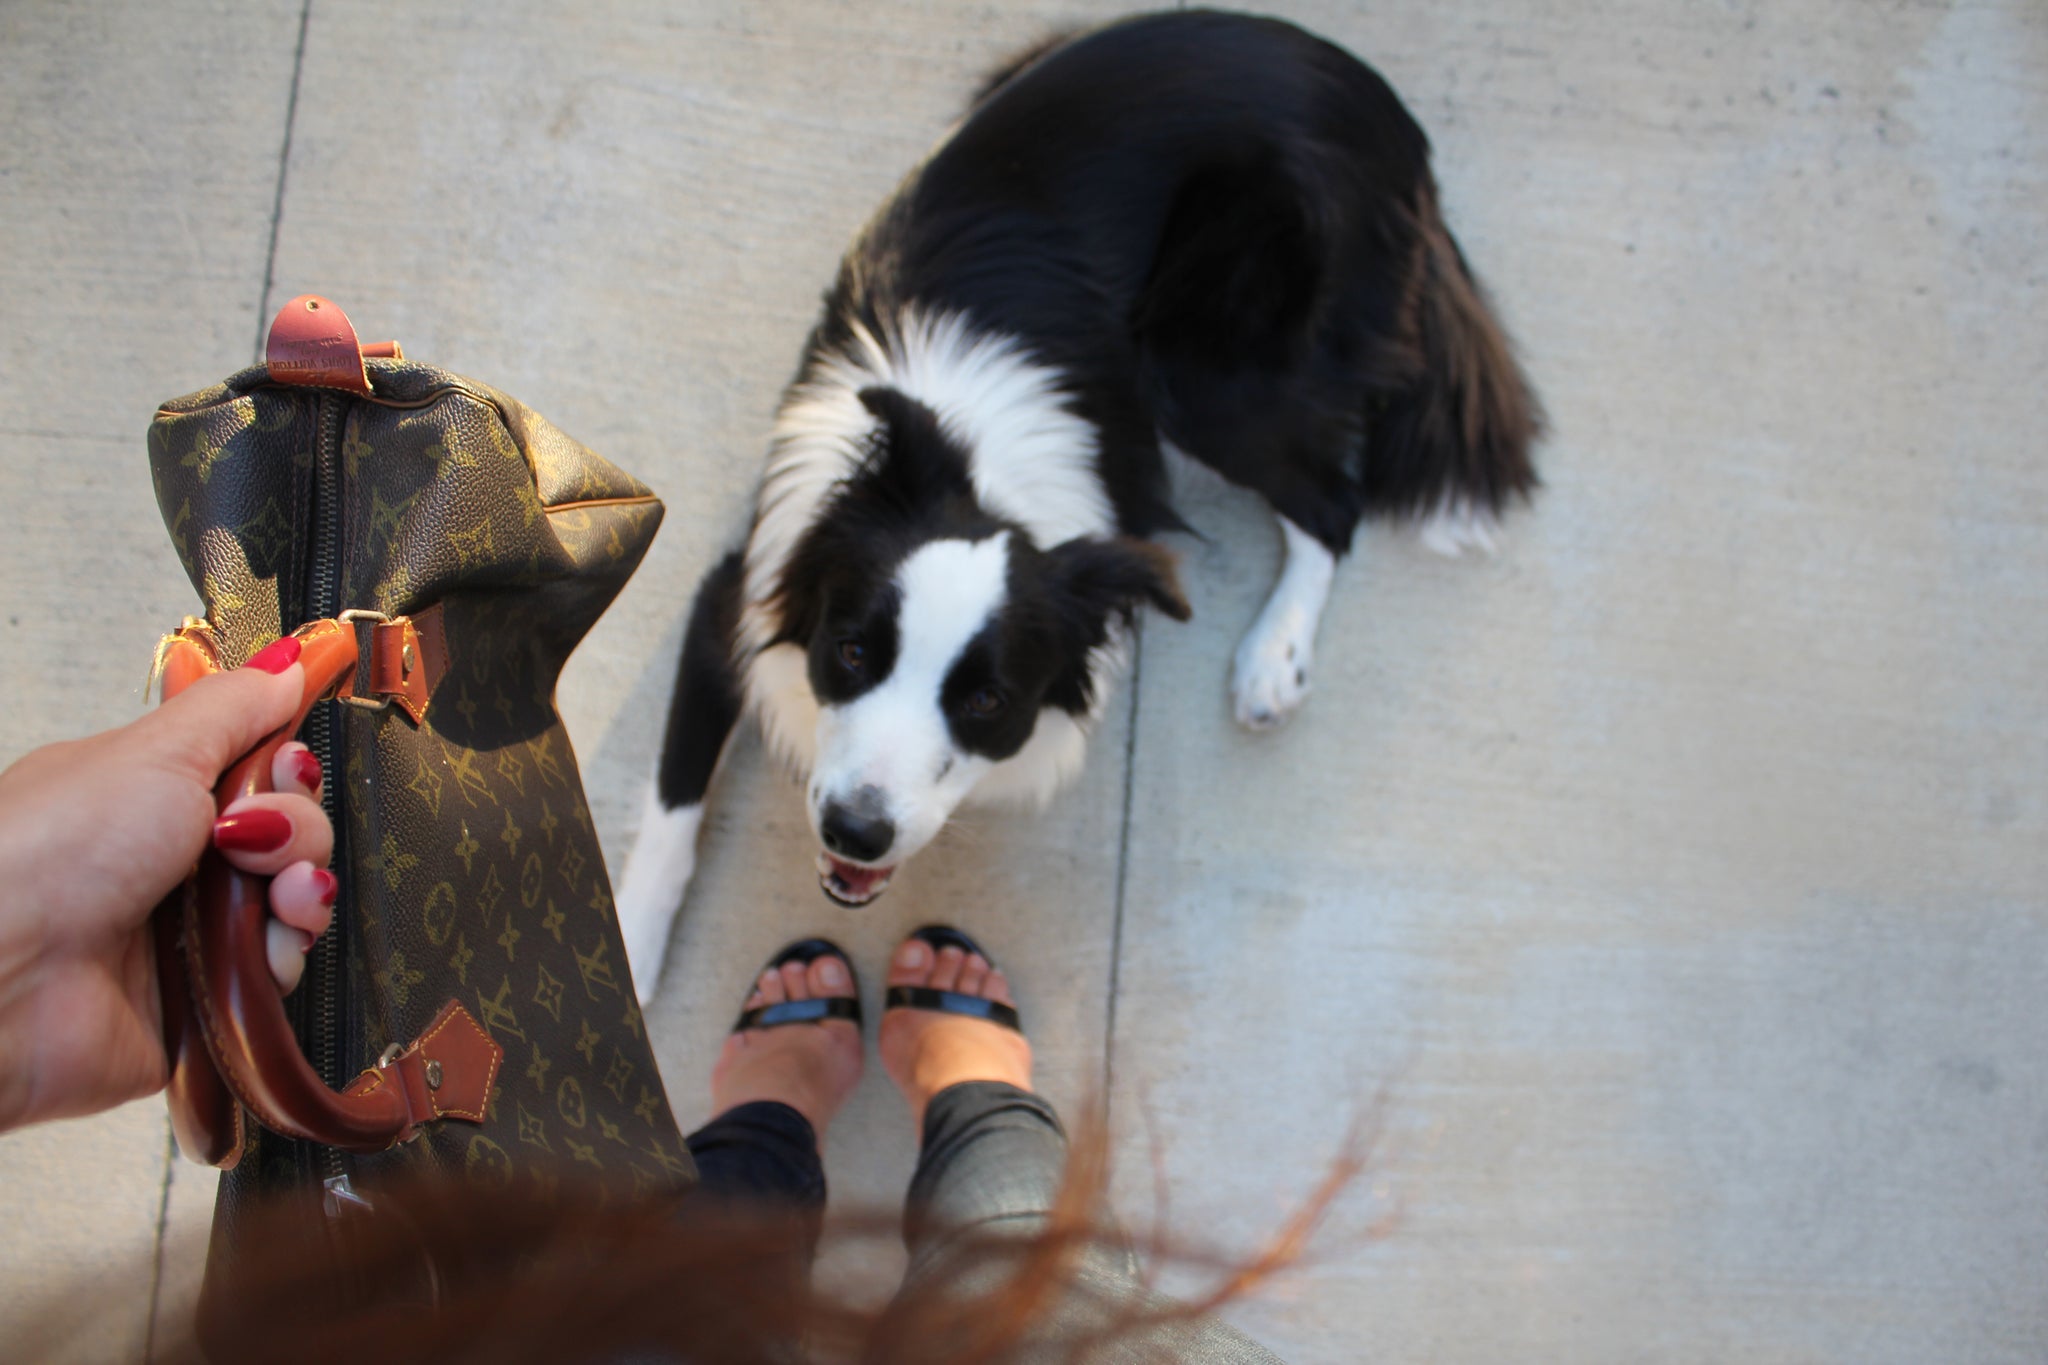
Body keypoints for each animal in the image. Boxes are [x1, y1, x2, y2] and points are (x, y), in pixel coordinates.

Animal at [618, 10, 1540, 1002]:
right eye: (853, 650)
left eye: (985, 700)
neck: (981, 467)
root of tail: (1380, 105)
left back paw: (1273, 658)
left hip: (1209, 366)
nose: (854, 832)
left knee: (1333, 503)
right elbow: (673, 794)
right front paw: (630, 942)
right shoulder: (744, 584)